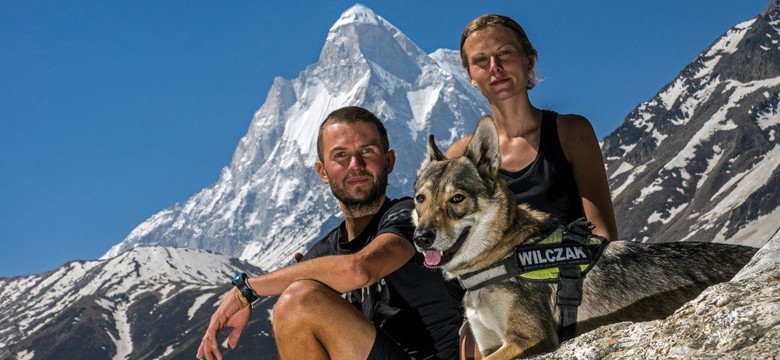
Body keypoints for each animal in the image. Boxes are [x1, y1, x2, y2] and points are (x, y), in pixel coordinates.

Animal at [412, 116, 760, 358]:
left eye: (457, 199)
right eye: (420, 199)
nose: (421, 238)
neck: (500, 256)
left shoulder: (531, 338)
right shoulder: (487, 343)